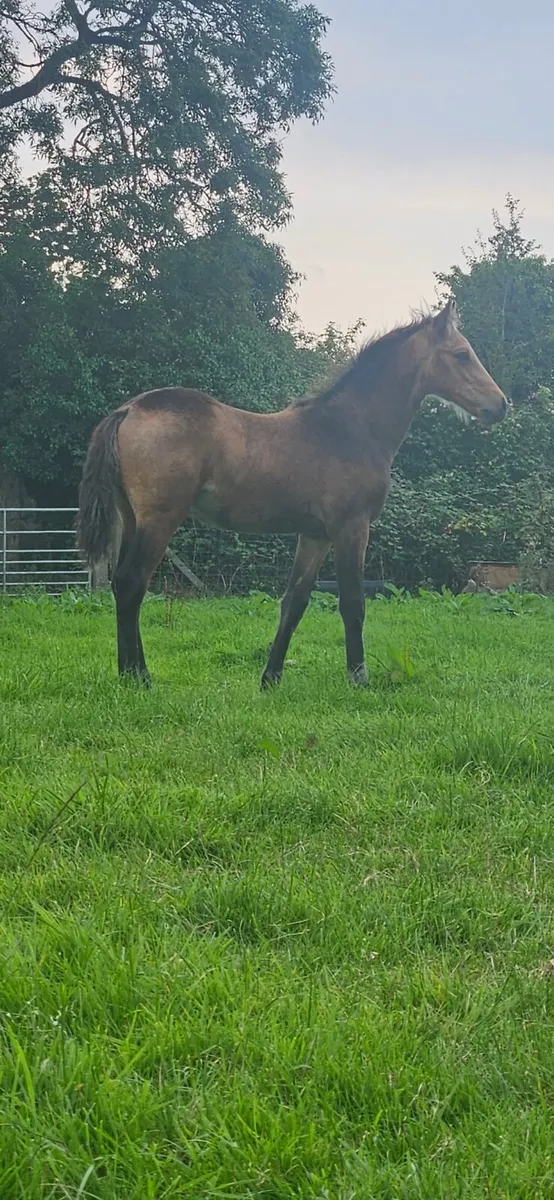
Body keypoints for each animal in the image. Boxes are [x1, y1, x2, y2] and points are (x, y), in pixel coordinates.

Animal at [76, 299, 508, 687]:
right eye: (462, 354)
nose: (501, 405)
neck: (352, 428)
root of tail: (129, 410)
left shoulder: (314, 535)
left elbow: (294, 602)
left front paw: (271, 678)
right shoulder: (351, 528)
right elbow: (353, 602)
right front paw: (359, 678)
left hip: (132, 518)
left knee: (123, 586)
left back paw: (130, 671)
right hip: (160, 519)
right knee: (132, 582)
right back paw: (139, 677)